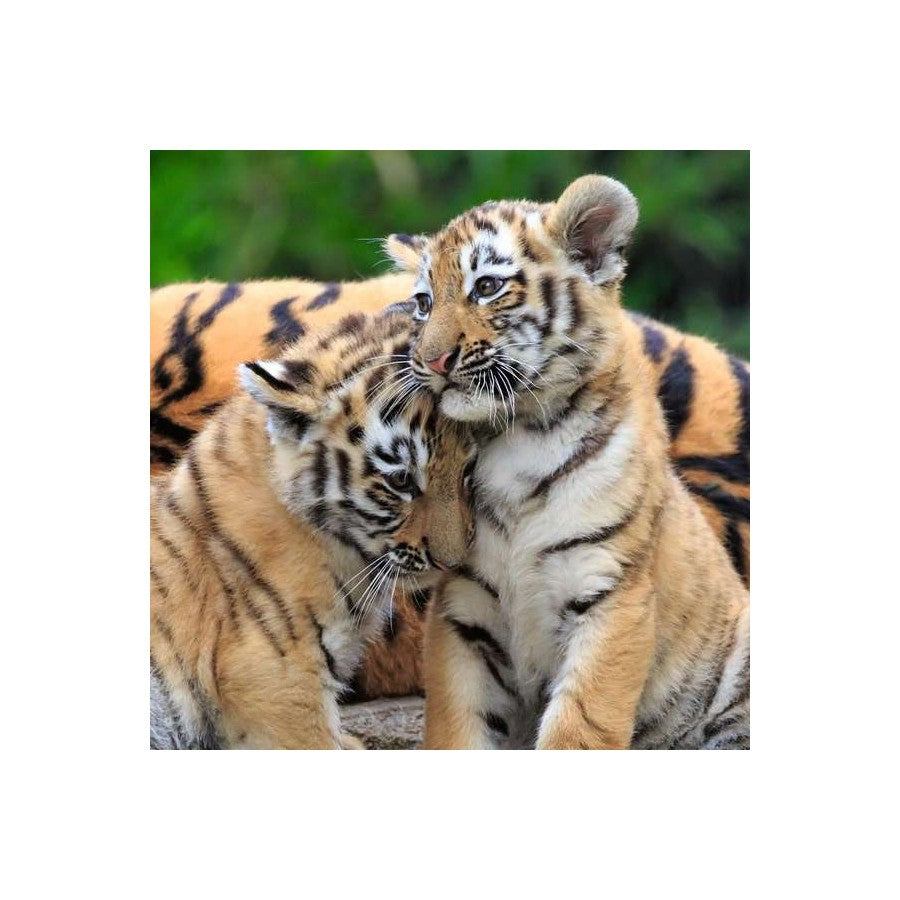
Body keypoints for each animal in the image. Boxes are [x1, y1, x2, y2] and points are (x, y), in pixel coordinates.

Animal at [383, 175, 750, 749]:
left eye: (486, 287)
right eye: (423, 302)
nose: (430, 360)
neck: (515, 435)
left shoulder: (611, 592)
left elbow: (580, 726)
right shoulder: (463, 611)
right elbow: (456, 727)